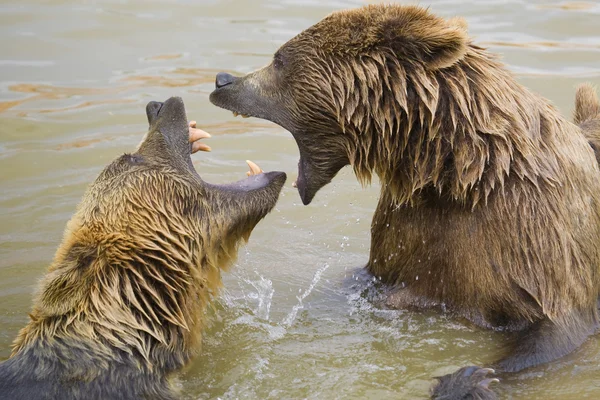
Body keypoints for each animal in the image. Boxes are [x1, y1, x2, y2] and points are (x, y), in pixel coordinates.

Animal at [210, 3, 600, 400]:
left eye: (279, 59)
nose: (222, 80)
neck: (457, 172)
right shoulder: (406, 227)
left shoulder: (531, 232)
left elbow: (553, 328)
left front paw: (466, 379)